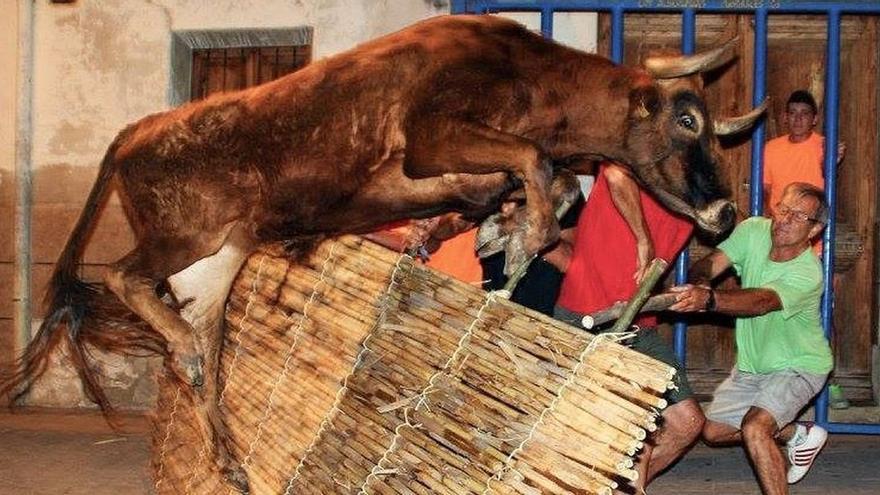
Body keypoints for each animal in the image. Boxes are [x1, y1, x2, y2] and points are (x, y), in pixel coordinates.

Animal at [1, 14, 764, 492]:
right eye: (688, 119)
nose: (725, 211)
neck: (525, 74)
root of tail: (143, 126)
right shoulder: (432, 136)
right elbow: (535, 161)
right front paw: (521, 242)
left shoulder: (447, 172)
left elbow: (544, 181)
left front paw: (498, 233)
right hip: (182, 236)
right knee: (122, 277)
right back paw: (185, 355)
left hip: (215, 260)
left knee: (204, 361)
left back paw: (226, 450)